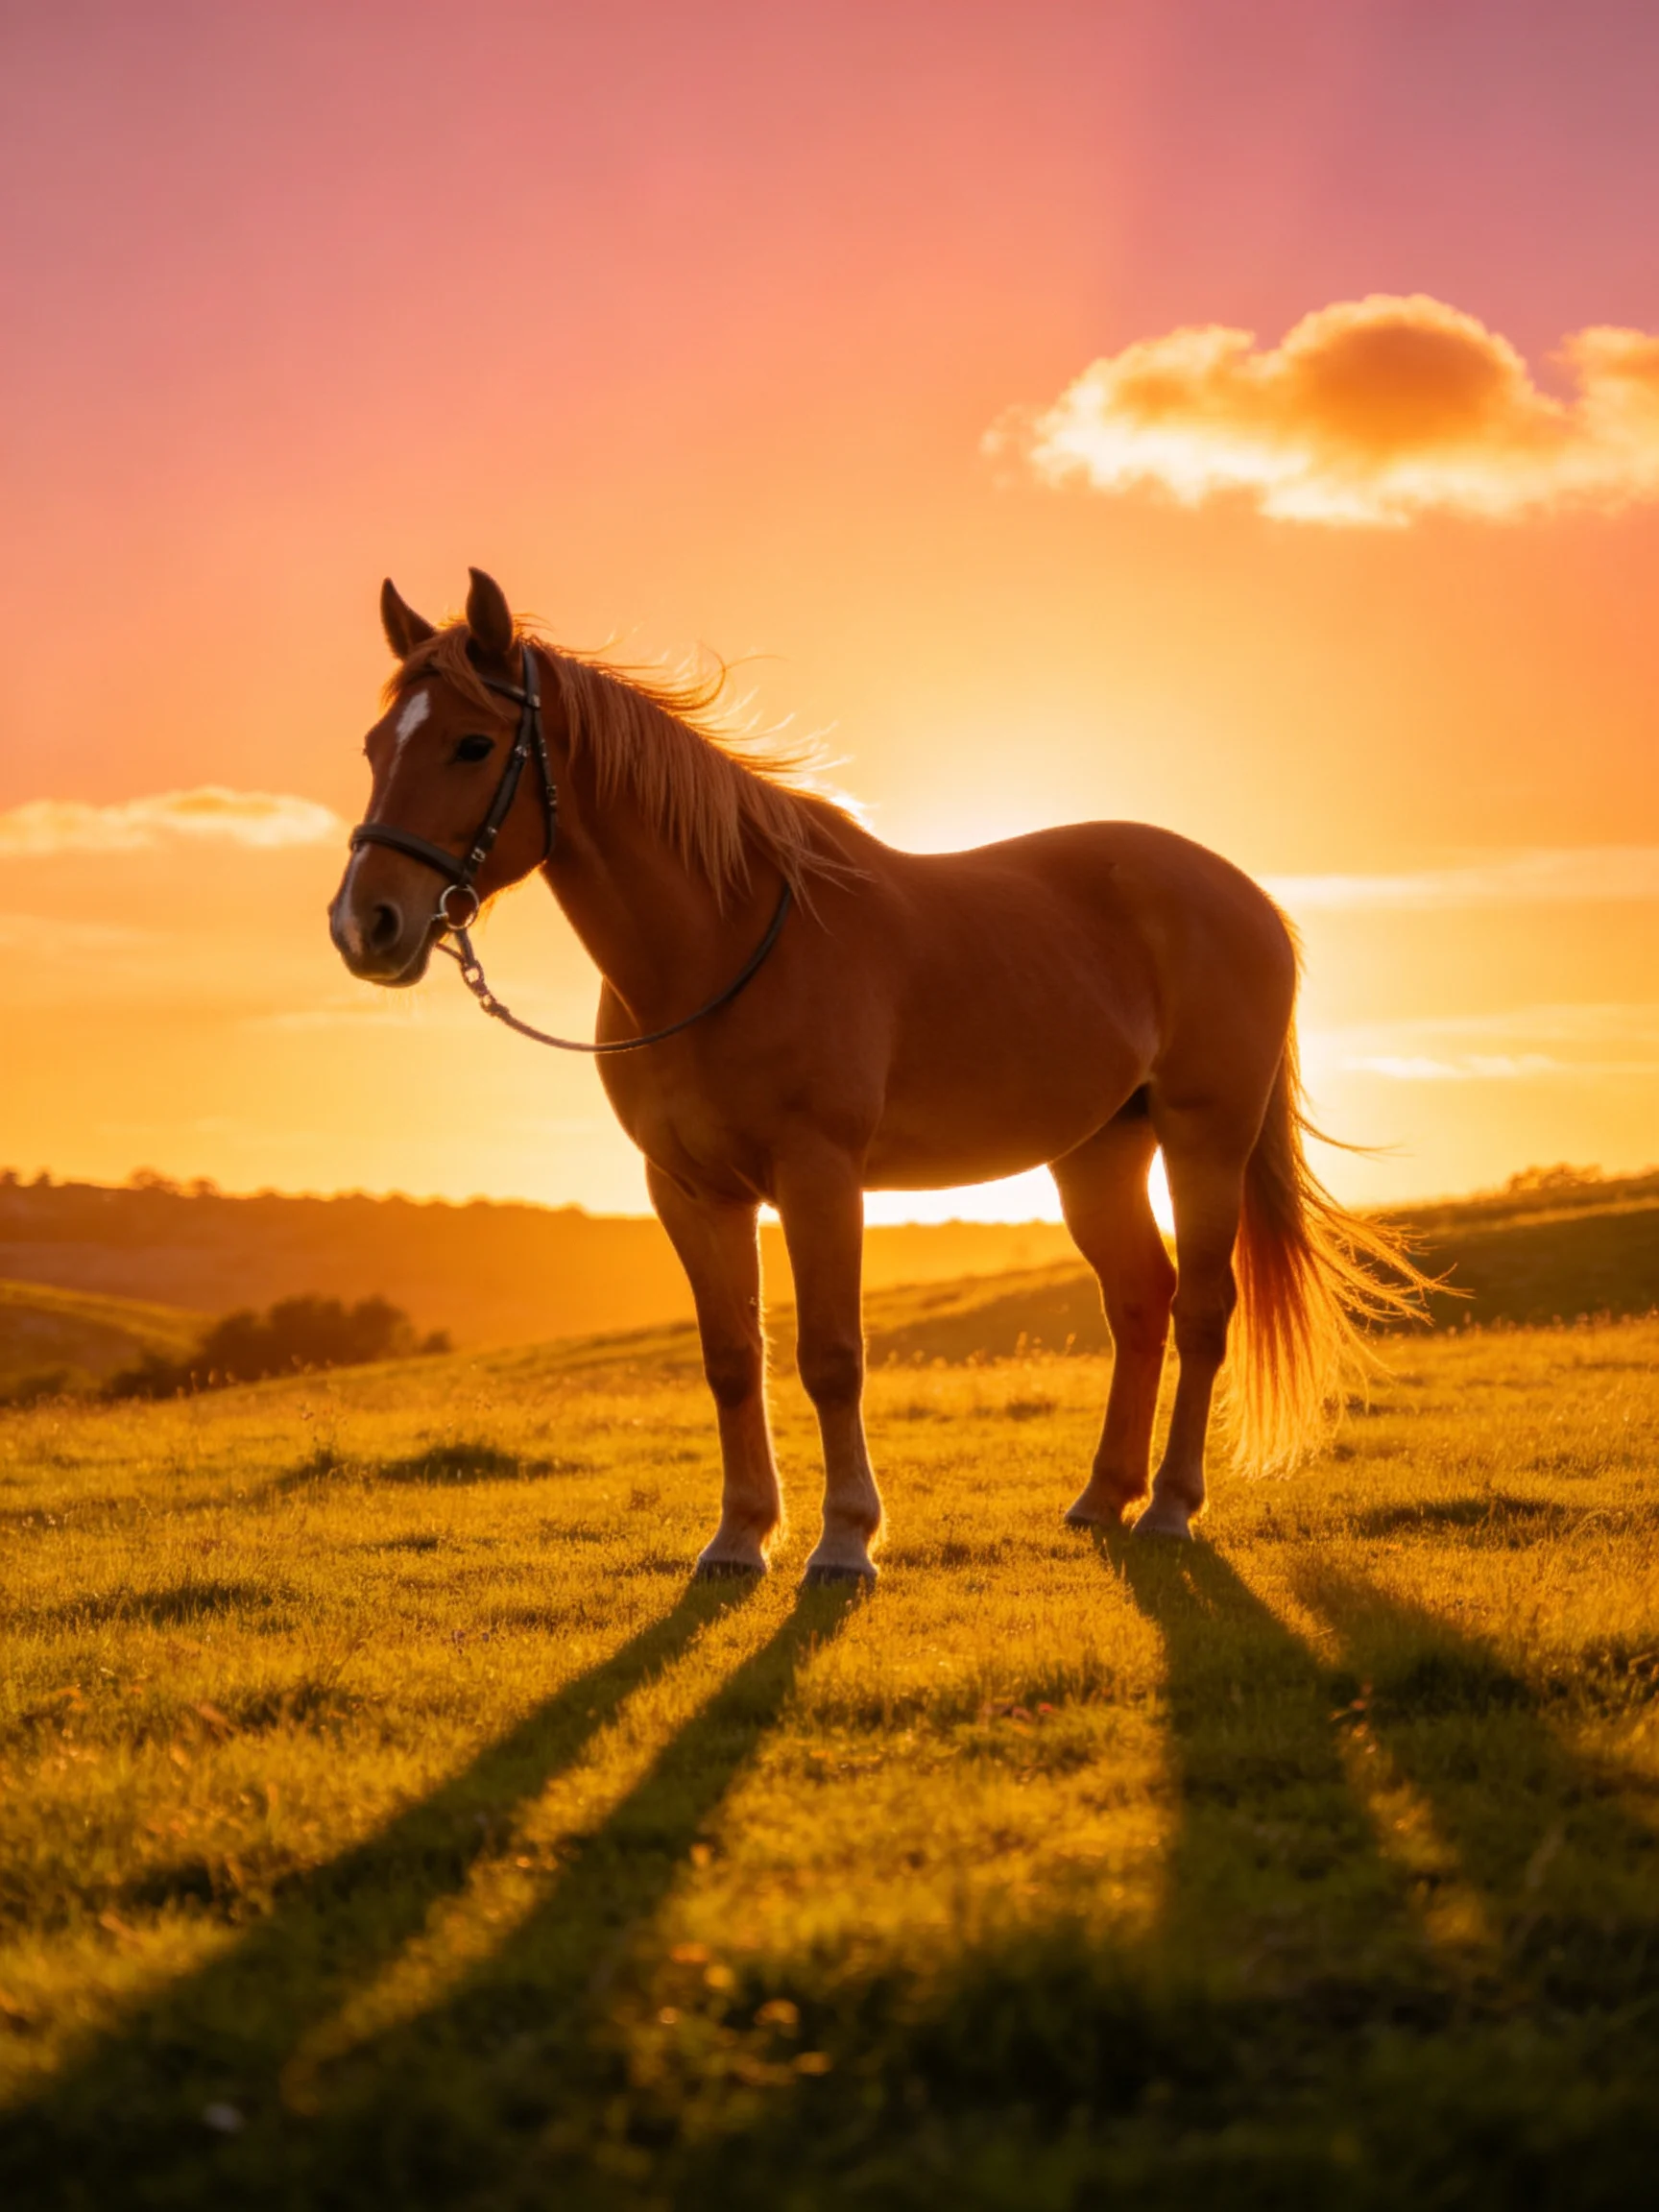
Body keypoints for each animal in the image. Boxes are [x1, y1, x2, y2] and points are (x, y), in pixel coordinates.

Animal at [329, 568, 1426, 1583]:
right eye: (378, 747)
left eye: (473, 745)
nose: (365, 925)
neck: (721, 942)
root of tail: (1247, 897)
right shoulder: (690, 1191)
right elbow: (732, 1359)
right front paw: (739, 1537)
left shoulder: (820, 1178)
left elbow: (830, 1357)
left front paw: (845, 1541)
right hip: (1098, 1153)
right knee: (1139, 1303)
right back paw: (1101, 1497)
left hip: (1205, 1138)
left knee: (1200, 1309)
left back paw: (1168, 1508)